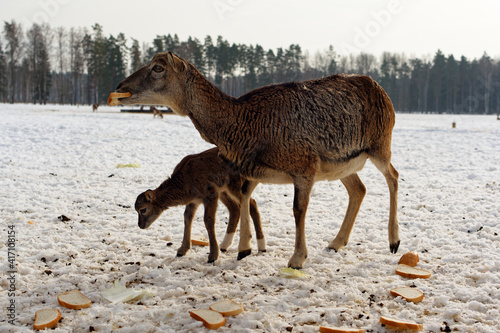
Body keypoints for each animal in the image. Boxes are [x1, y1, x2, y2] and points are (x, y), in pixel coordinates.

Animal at [111, 52, 400, 270]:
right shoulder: (251, 172)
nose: (119, 87)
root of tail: (384, 93)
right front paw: (244, 249)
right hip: (341, 165)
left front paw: (297, 258)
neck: (246, 127)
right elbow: (245, 199)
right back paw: (336, 242)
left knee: (393, 177)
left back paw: (394, 241)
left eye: (157, 67)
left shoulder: (304, 165)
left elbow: (298, 209)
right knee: (359, 189)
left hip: (380, 145)